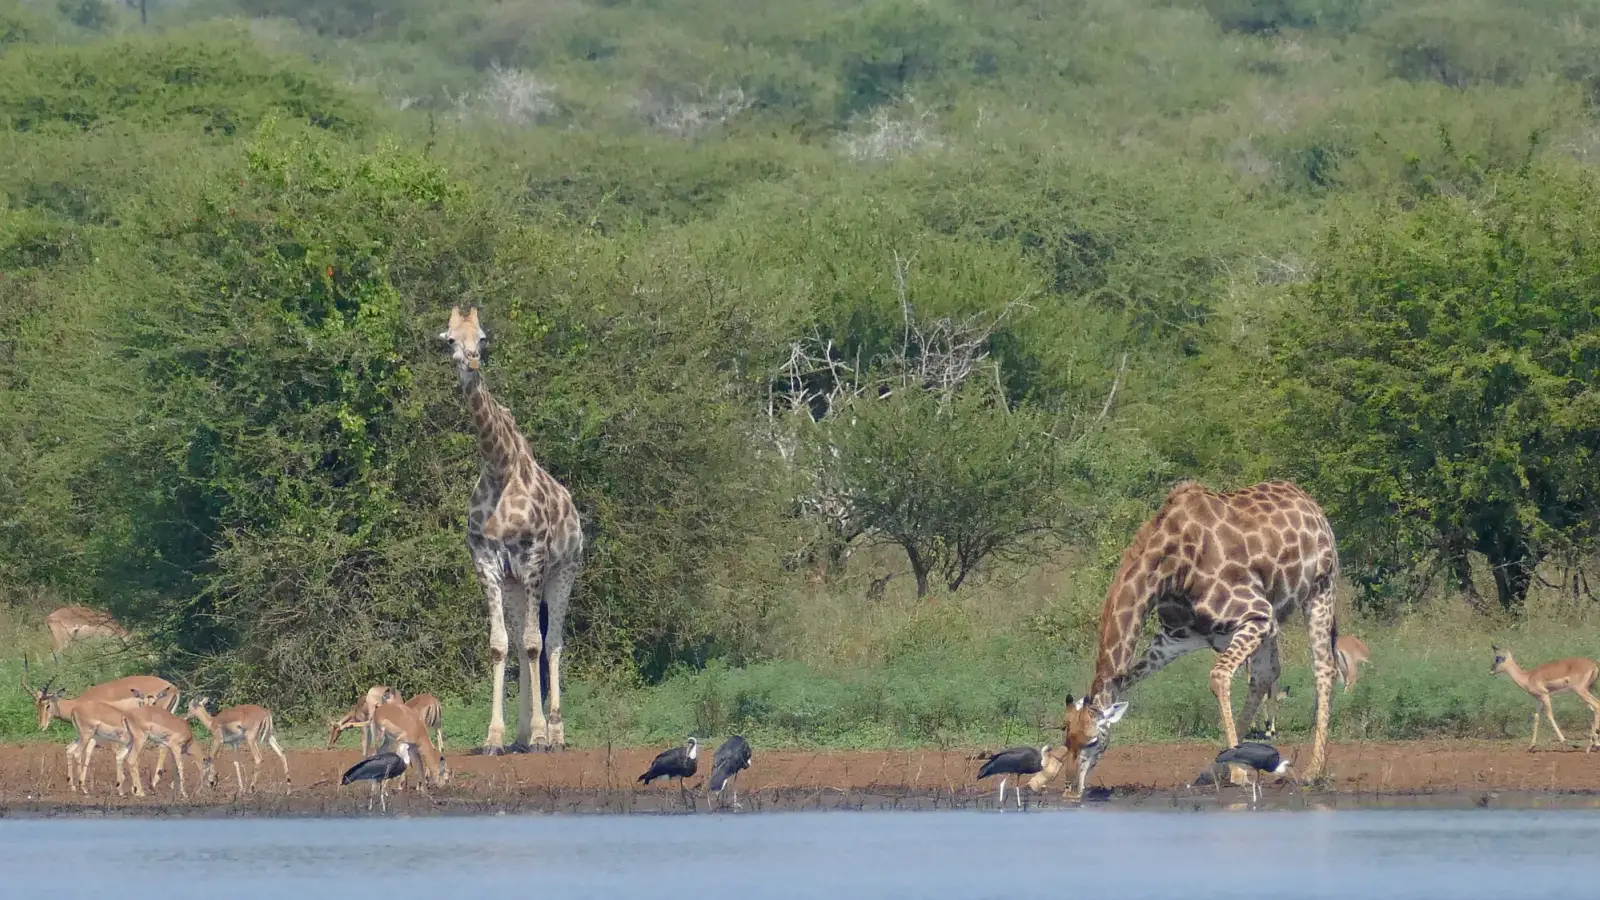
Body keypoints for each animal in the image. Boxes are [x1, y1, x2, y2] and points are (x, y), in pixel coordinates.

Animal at [439, 306, 584, 754]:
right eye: (449, 339)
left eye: (483, 337)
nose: (470, 361)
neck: (499, 467)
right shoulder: (488, 565)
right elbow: (501, 646)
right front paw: (495, 737)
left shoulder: (534, 559)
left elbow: (537, 644)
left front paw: (539, 735)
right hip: (516, 585)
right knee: (523, 645)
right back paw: (522, 736)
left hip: (564, 572)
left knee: (552, 643)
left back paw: (554, 733)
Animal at [1044, 480, 1341, 797]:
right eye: (1067, 739)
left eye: (1093, 741)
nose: (1071, 788)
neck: (1170, 567)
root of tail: (1310, 503)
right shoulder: (1174, 639)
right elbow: (1123, 680)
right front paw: (1043, 775)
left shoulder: (1256, 614)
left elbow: (1218, 677)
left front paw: (1239, 773)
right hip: (1258, 624)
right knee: (1265, 674)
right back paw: (1214, 770)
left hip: (1319, 589)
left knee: (1324, 668)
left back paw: (1312, 771)